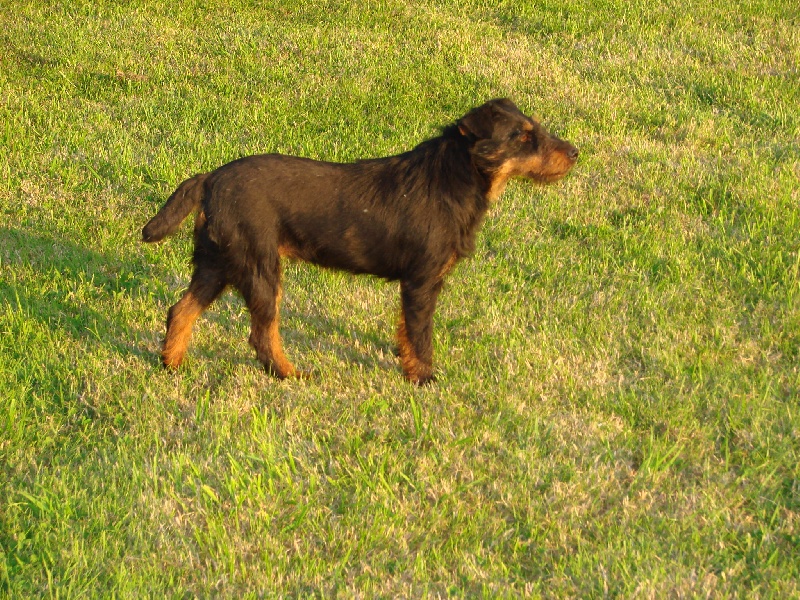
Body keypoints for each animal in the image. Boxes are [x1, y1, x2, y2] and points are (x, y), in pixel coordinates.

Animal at [142, 96, 576, 382]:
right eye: (522, 136)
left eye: (535, 129)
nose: (575, 152)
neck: (453, 177)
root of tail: (210, 179)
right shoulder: (422, 282)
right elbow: (421, 335)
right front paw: (423, 378)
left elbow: (405, 332)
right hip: (259, 268)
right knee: (261, 334)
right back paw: (290, 374)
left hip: (216, 263)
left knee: (181, 311)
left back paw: (172, 364)